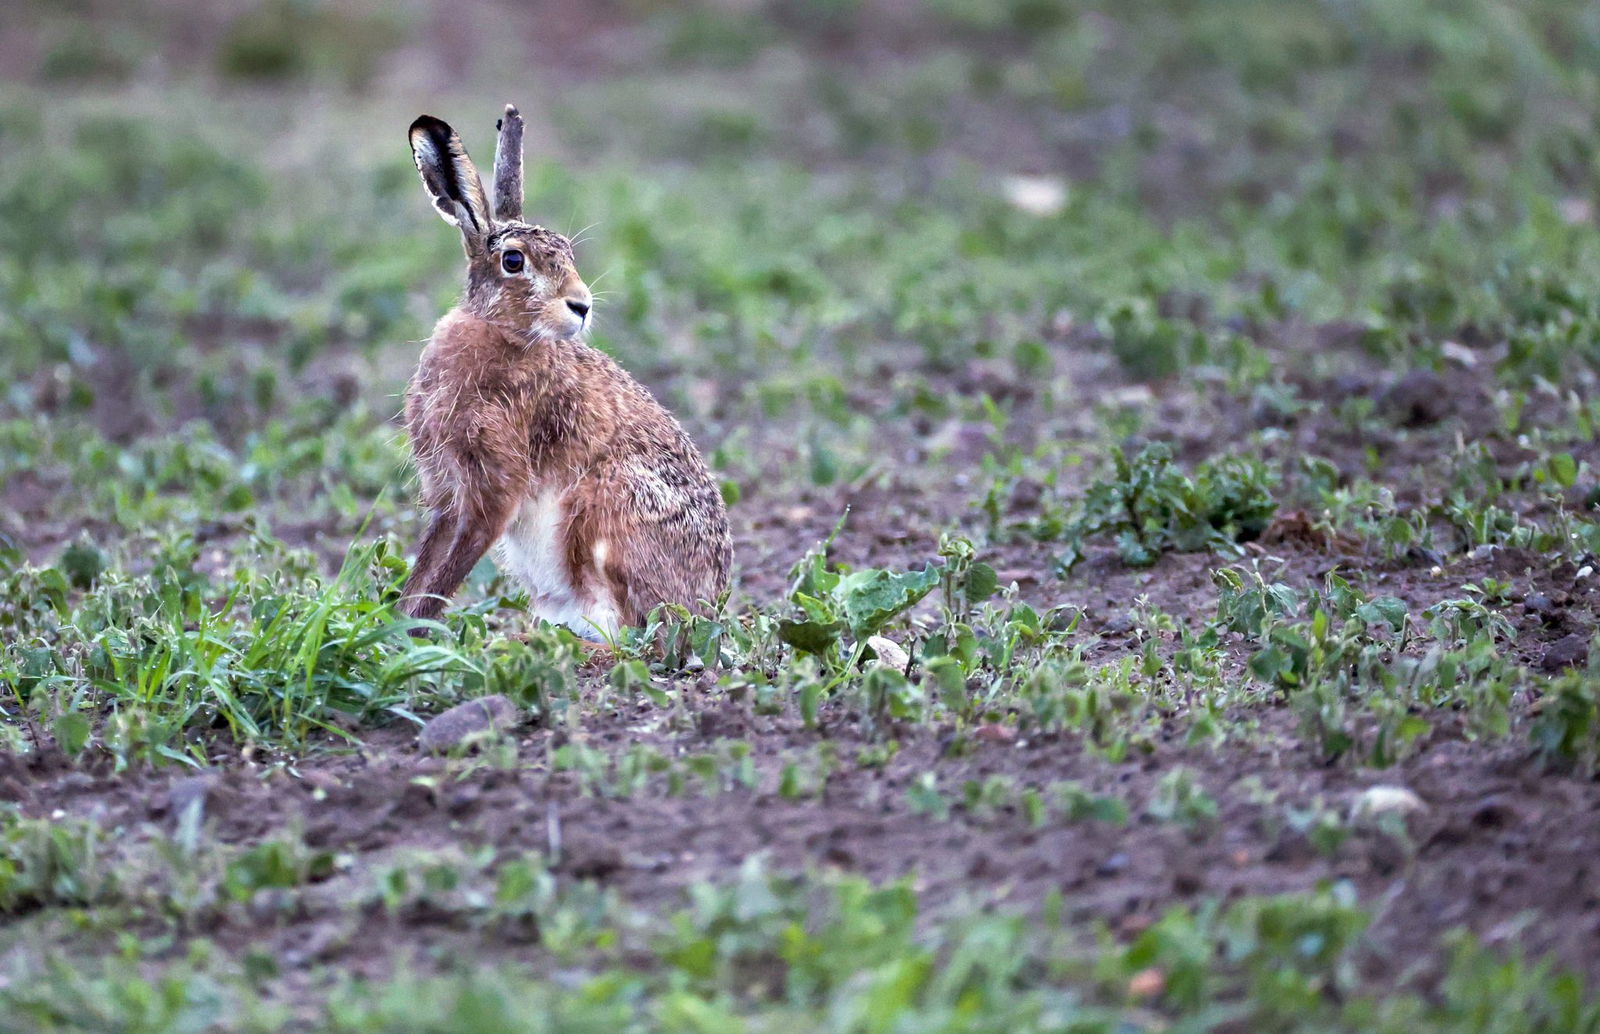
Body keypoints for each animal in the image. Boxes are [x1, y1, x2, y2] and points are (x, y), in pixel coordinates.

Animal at [397, 104, 732, 641]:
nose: (582, 305)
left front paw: (411, 636)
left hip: (610, 510)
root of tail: (709, 609)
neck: (504, 333)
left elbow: (450, 571)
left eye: (570, 257)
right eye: (513, 261)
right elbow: (428, 566)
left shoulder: (495, 486)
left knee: (637, 634)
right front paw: (392, 625)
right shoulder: (448, 492)